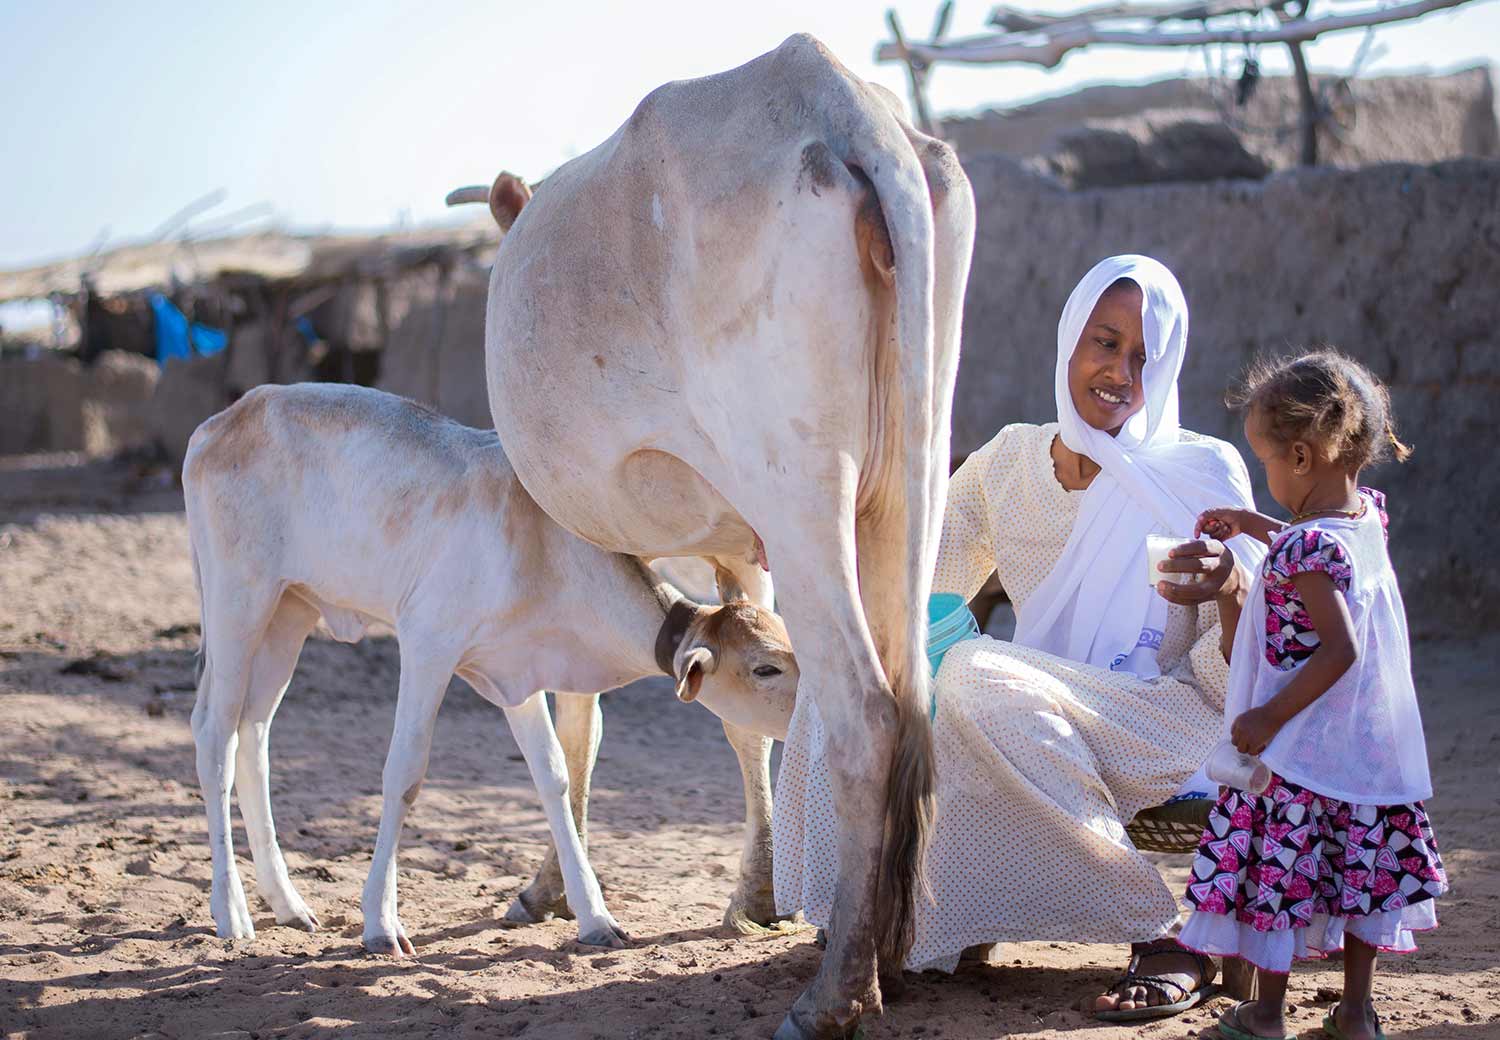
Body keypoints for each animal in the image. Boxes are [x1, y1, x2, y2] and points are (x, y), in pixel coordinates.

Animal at [180, 381, 798, 948]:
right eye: (765, 668)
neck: (542, 546)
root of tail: (225, 419)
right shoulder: (427, 643)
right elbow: (404, 774)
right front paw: (380, 923)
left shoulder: (515, 675)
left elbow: (554, 775)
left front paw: (594, 917)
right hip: (240, 601)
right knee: (215, 734)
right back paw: (231, 913)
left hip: (291, 609)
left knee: (254, 733)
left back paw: (288, 904)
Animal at [456, 34, 978, 1038]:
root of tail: (840, 103)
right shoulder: (737, 542)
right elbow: (741, 698)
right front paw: (757, 895)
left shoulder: (582, 518)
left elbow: (580, 717)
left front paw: (548, 887)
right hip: (911, 471)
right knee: (914, 696)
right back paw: (887, 952)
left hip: (798, 484)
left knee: (866, 714)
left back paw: (834, 997)